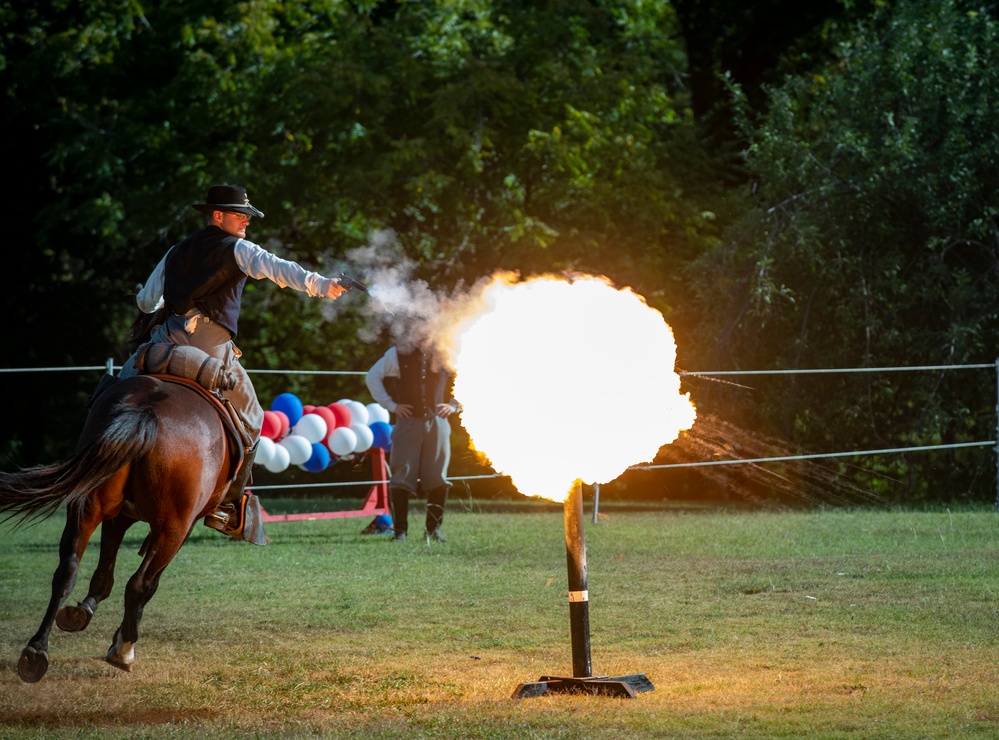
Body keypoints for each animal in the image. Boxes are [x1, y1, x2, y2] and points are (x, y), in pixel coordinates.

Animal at [0, 372, 232, 684]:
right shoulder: (182, 526)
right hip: (172, 528)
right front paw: (119, 635)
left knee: (67, 571)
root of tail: (146, 412)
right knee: (138, 583)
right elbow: (149, 584)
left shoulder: (117, 518)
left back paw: (36, 652)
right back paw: (124, 650)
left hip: (87, 507)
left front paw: (82, 611)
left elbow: (103, 574)